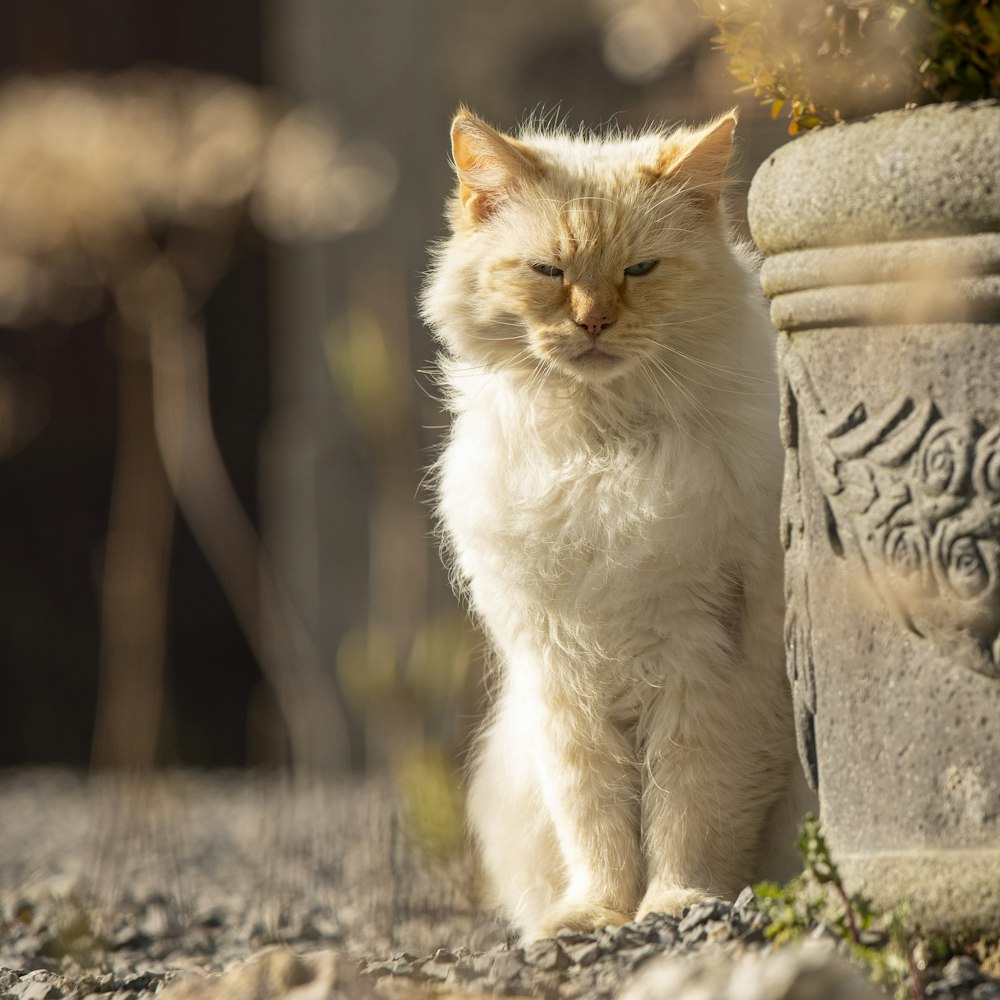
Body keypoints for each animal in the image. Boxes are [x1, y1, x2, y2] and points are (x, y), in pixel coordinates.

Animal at [420, 109, 804, 944]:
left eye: (641, 270)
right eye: (548, 272)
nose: (593, 322)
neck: (602, 452)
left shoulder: (706, 663)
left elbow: (687, 813)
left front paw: (675, 906)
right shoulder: (561, 675)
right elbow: (595, 822)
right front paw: (595, 918)